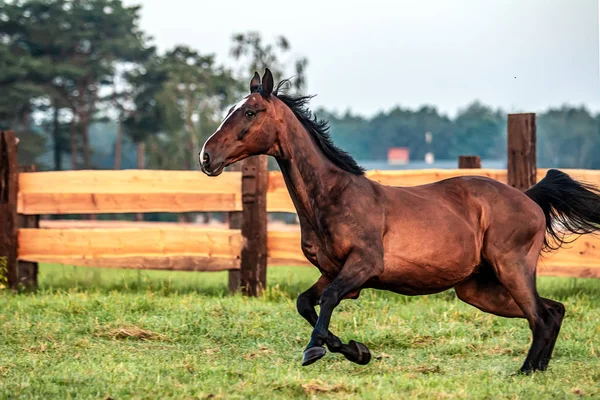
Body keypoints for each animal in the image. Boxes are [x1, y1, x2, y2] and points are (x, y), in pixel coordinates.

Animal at [200, 69, 600, 376]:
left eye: (250, 112)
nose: (207, 157)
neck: (334, 196)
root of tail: (530, 199)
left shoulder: (363, 266)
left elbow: (326, 302)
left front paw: (315, 350)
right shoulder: (333, 272)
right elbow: (306, 303)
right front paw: (357, 351)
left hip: (511, 268)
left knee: (541, 317)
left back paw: (525, 371)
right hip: (478, 290)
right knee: (552, 311)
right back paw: (537, 369)